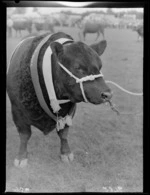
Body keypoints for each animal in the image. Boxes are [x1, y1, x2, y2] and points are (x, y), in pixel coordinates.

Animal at [7, 32, 112, 167]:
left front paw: (65, 153)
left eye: (100, 66)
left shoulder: (69, 112)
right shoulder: (17, 112)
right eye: (78, 67)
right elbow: (24, 135)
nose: (107, 94)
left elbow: (63, 133)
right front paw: (21, 157)